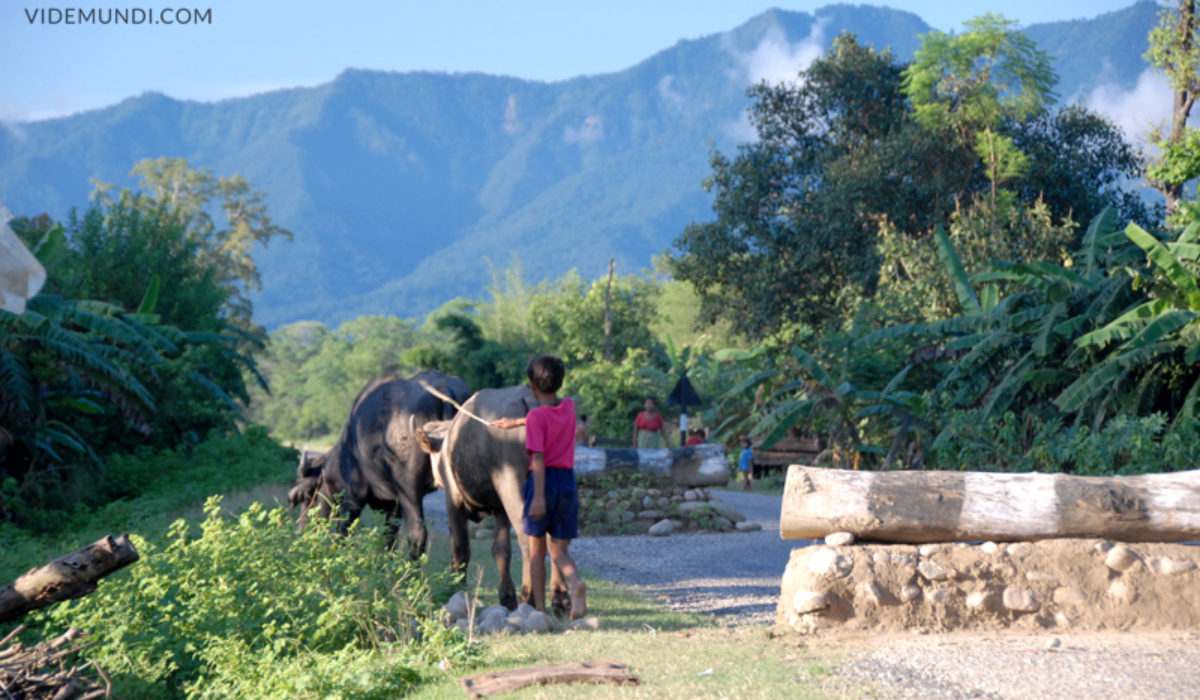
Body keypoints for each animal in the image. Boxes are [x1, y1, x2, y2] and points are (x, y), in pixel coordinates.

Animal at [288, 372, 470, 559]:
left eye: (309, 496)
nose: (300, 529)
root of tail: (444, 387)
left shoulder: (355, 494)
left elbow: (343, 530)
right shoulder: (394, 504)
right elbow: (389, 537)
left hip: (409, 488)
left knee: (417, 534)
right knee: (458, 541)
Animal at [417, 386, 571, 614]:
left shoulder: (453, 501)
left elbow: (460, 546)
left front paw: (455, 588)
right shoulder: (500, 508)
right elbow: (500, 549)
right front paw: (506, 596)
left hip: (513, 487)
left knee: (528, 540)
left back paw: (528, 598)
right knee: (555, 539)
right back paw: (560, 598)